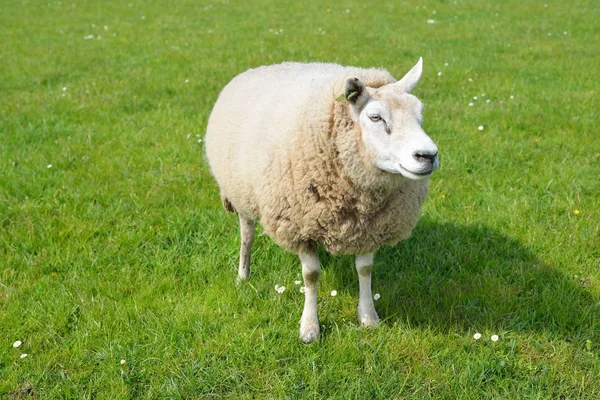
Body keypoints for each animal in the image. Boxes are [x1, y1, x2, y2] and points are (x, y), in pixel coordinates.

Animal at [204, 57, 438, 342]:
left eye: (420, 113)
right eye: (375, 117)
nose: (428, 155)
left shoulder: (370, 227)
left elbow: (365, 269)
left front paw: (368, 317)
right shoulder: (299, 225)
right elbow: (311, 275)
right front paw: (309, 327)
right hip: (242, 195)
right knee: (246, 236)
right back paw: (243, 275)